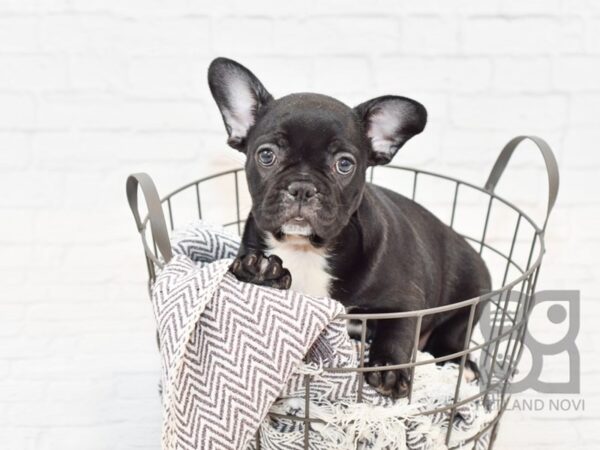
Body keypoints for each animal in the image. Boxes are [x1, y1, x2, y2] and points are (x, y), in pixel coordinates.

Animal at [209, 56, 490, 398]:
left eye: (344, 164)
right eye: (266, 155)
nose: (302, 187)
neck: (306, 249)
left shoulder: (404, 300)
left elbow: (399, 330)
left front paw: (389, 369)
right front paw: (259, 271)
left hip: (469, 300)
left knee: (451, 339)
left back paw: (465, 367)